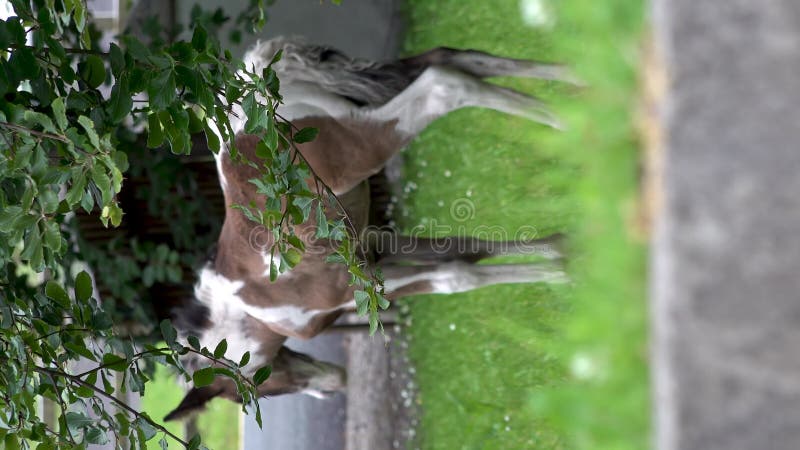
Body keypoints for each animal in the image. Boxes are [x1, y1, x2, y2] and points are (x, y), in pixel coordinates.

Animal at [164, 36, 576, 422]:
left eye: (247, 395)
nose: (334, 384)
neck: (252, 304)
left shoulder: (353, 289)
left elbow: (455, 276)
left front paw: (560, 273)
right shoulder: (374, 245)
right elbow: (465, 247)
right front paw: (562, 251)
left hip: (362, 145)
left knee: (444, 83)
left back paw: (571, 124)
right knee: (456, 58)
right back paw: (578, 84)